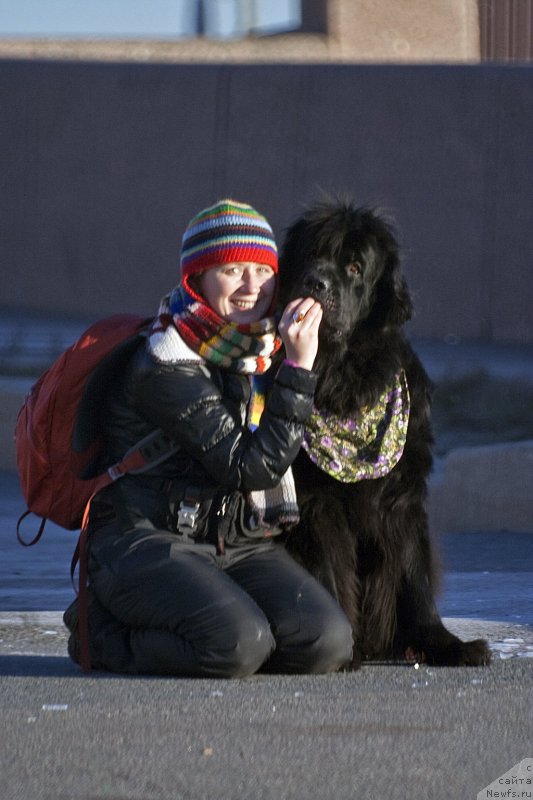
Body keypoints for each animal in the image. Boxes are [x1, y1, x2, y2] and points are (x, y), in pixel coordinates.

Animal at [278, 202, 490, 668]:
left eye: (355, 267)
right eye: (311, 255)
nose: (315, 281)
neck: (345, 383)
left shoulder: (402, 495)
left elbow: (413, 577)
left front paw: (446, 644)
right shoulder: (314, 501)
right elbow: (326, 565)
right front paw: (342, 646)